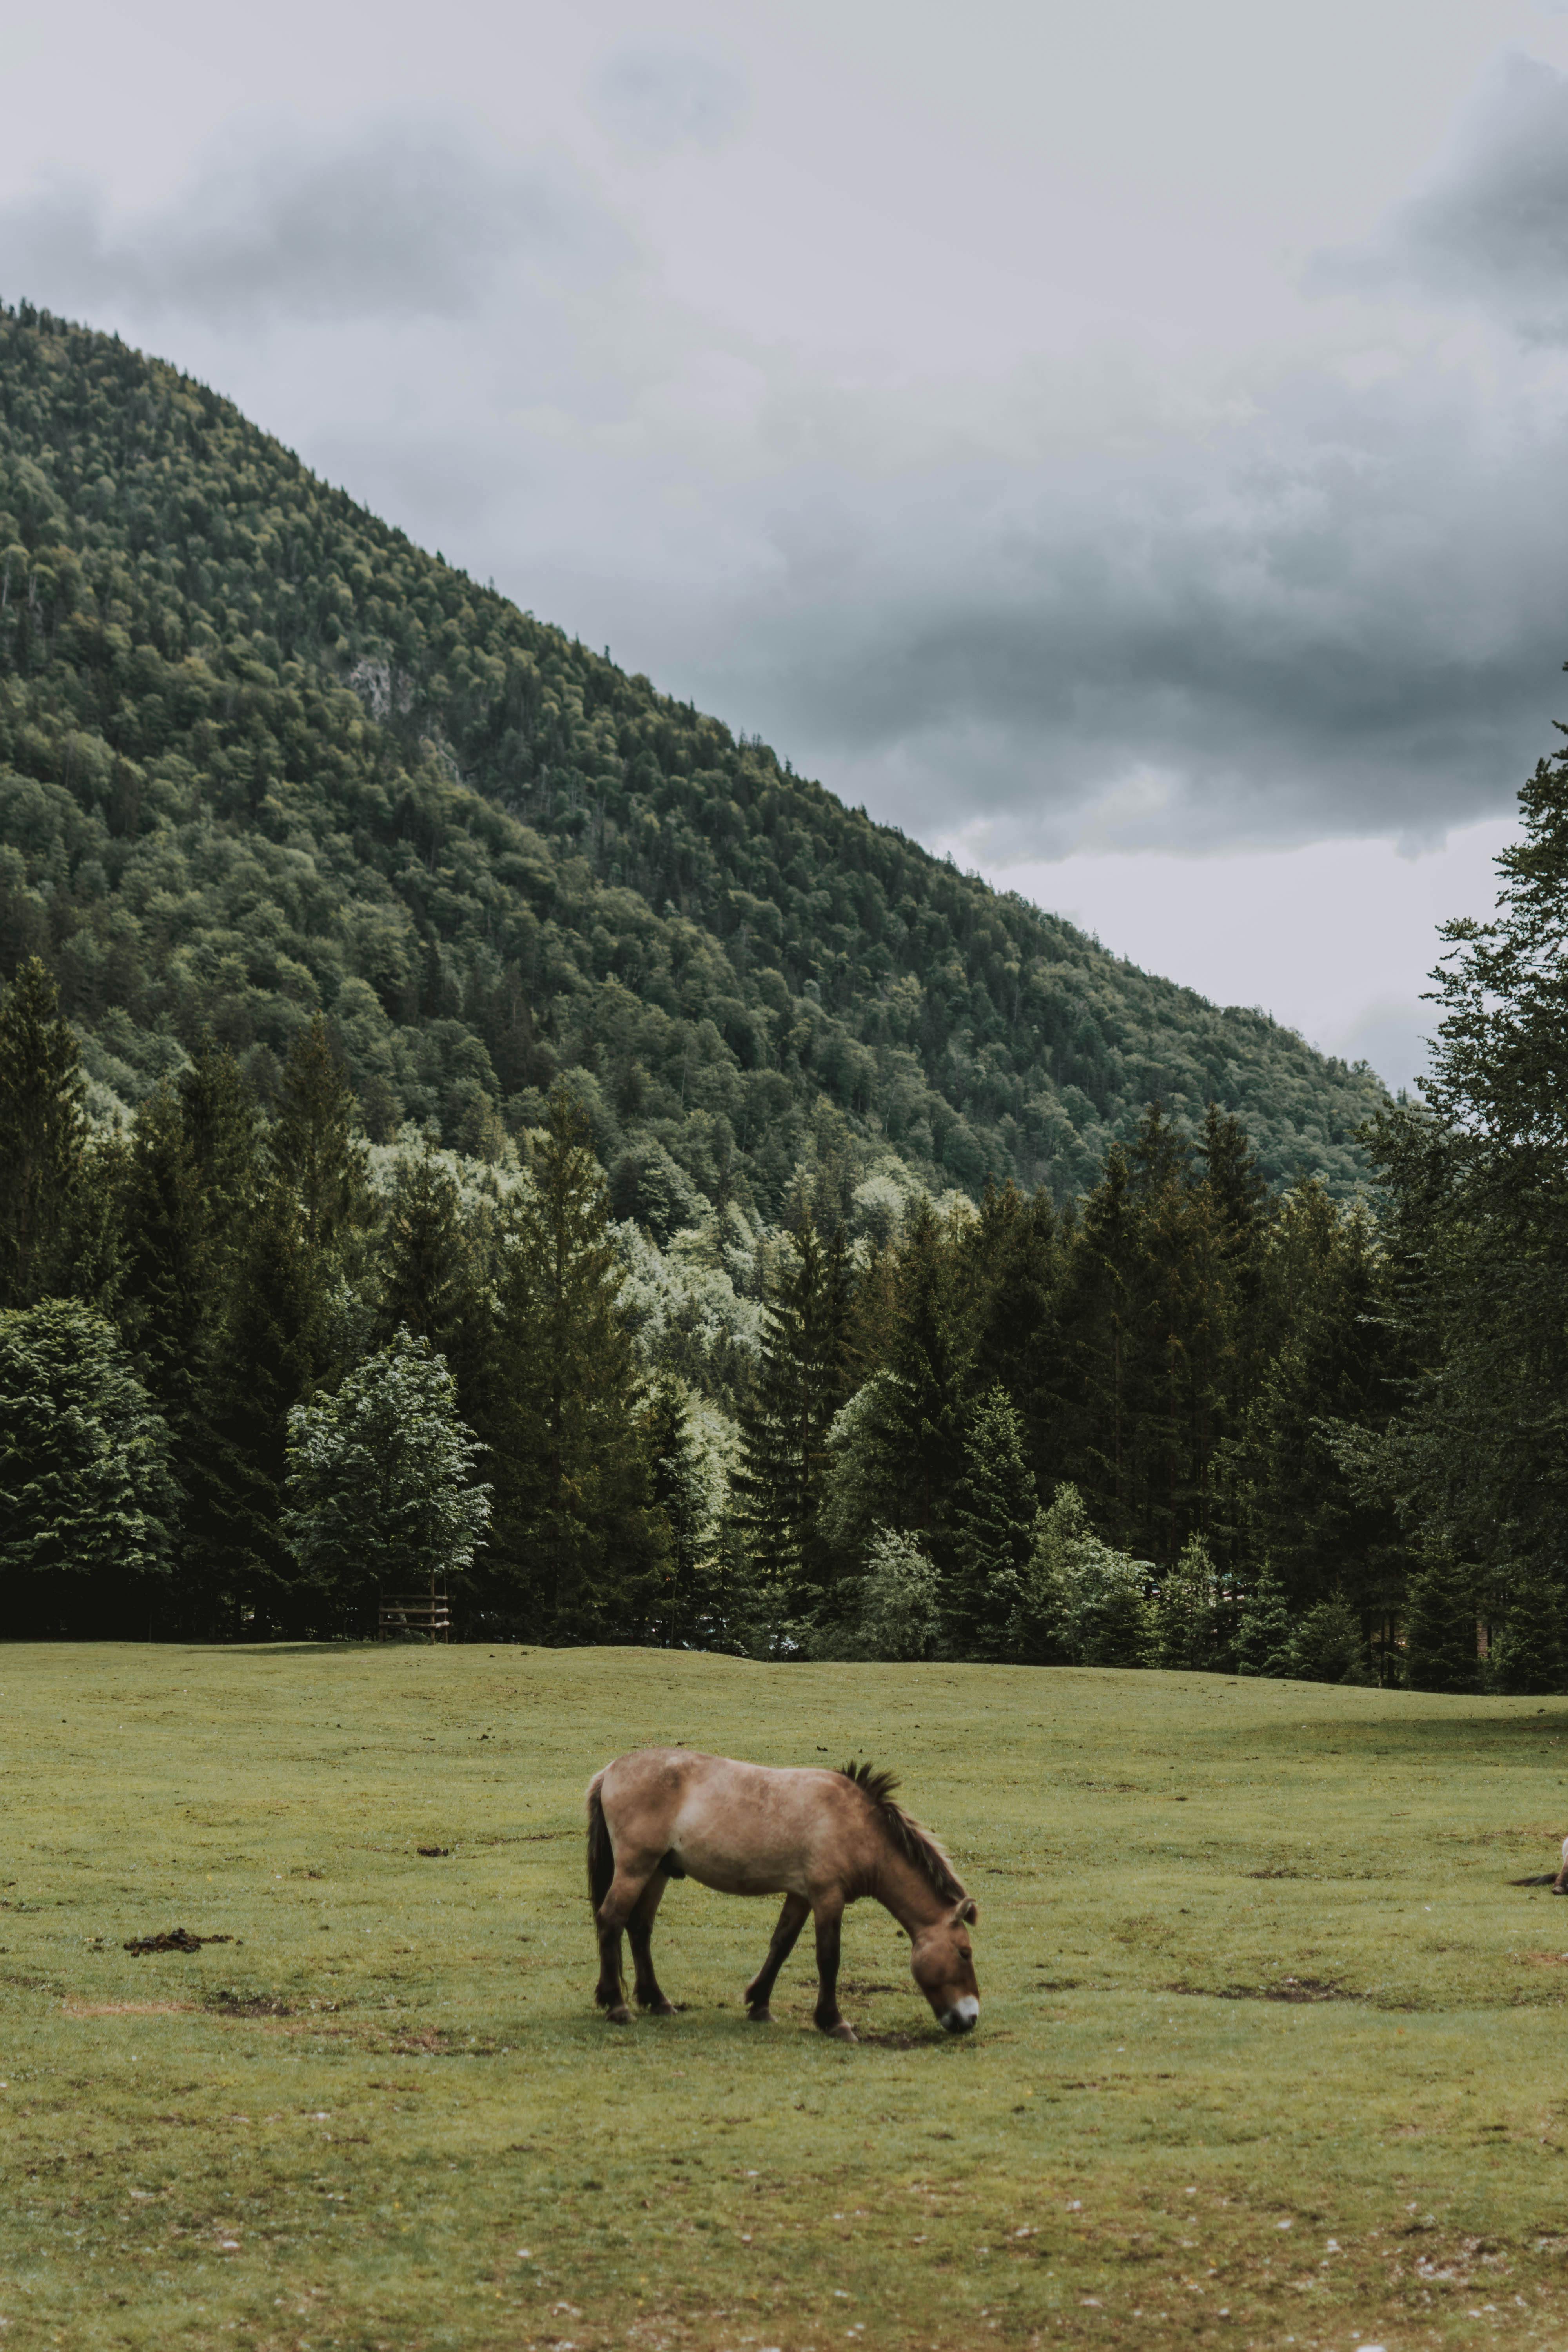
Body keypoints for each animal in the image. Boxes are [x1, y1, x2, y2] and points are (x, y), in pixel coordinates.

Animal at [585, 1749, 980, 2041]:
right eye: (965, 1953)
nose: (971, 2018)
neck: (856, 1826)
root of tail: (611, 1770)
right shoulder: (827, 1898)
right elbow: (828, 1958)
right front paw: (834, 2022)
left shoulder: (801, 1896)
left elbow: (781, 1945)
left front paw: (760, 2005)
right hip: (636, 1868)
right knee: (611, 1921)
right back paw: (617, 2006)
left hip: (658, 1871)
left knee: (639, 1928)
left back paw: (658, 2001)